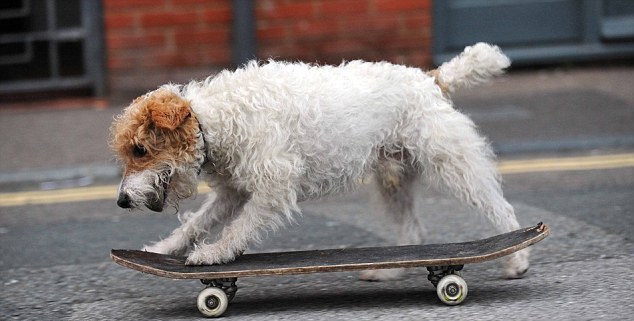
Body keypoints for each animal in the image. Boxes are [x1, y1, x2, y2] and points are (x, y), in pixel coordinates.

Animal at [110, 43, 528, 280]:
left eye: (140, 150)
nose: (121, 201)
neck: (213, 120)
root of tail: (430, 79)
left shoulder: (273, 190)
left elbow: (236, 230)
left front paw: (213, 255)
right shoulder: (232, 193)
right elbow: (195, 225)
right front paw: (163, 251)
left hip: (454, 164)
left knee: (501, 209)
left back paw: (516, 261)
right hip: (394, 179)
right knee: (412, 233)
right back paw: (389, 270)